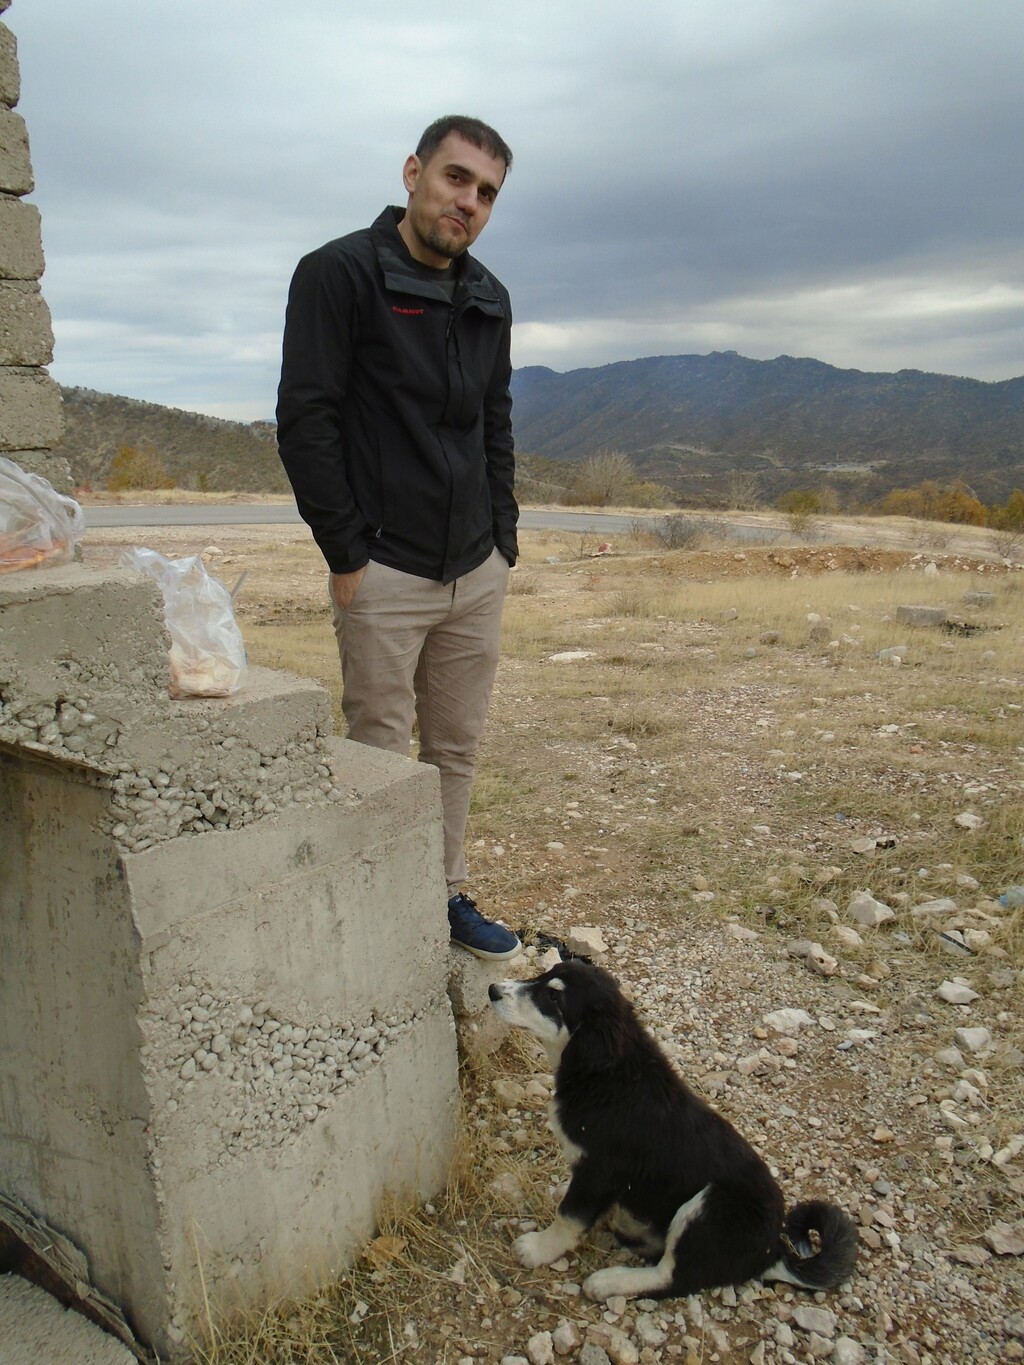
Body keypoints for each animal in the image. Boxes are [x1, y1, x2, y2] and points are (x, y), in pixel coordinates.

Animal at [488, 960, 857, 1299]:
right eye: (544, 974)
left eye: (553, 996)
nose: (493, 989)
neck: (608, 1076)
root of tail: (772, 1251)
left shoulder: (600, 1170)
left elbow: (569, 1216)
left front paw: (538, 1248)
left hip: (709, 1206)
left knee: (673, 1276)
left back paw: (610, 1282)